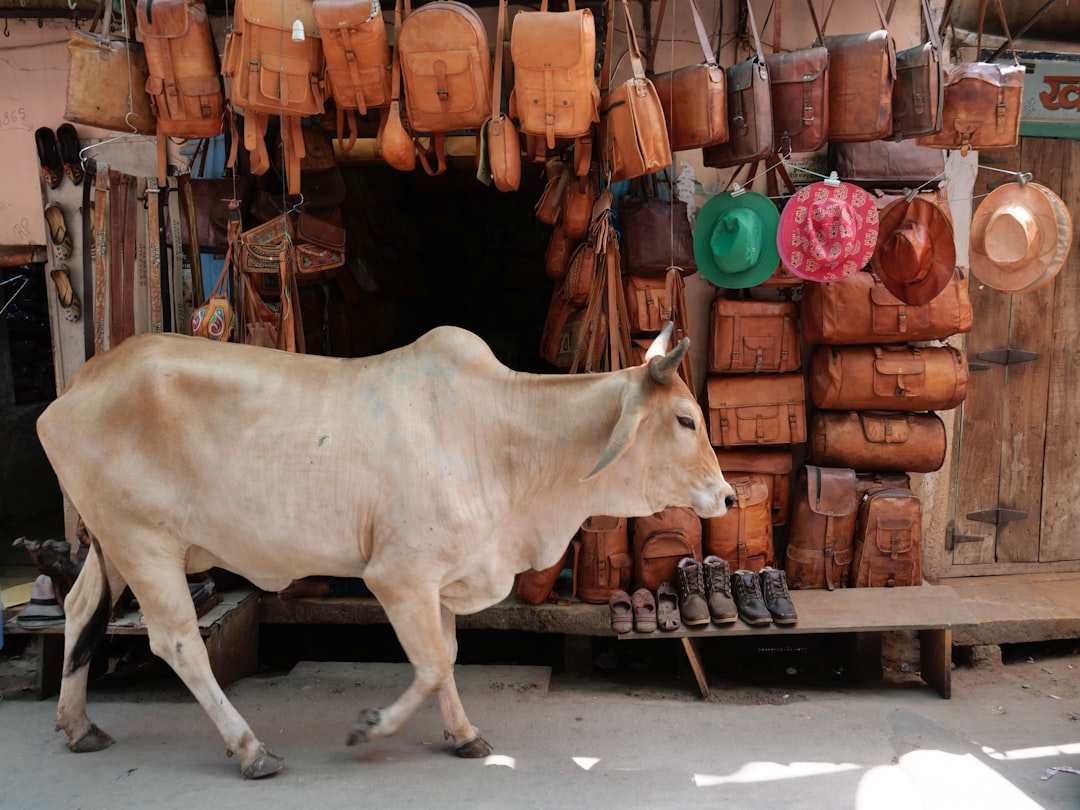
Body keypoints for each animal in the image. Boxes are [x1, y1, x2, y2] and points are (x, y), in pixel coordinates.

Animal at [36, 322, 735, 779]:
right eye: (685, 420)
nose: (728, 496)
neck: (504, 439)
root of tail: (80, 381)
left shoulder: (442, 580)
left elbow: (447, 658)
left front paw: (463, 735)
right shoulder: (398, 576)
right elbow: (429, 664)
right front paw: (373, 727)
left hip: (114, 545)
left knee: (80, 610)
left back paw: (78, 726)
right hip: (145, 542)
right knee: (178, 642)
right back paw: (250, 749)